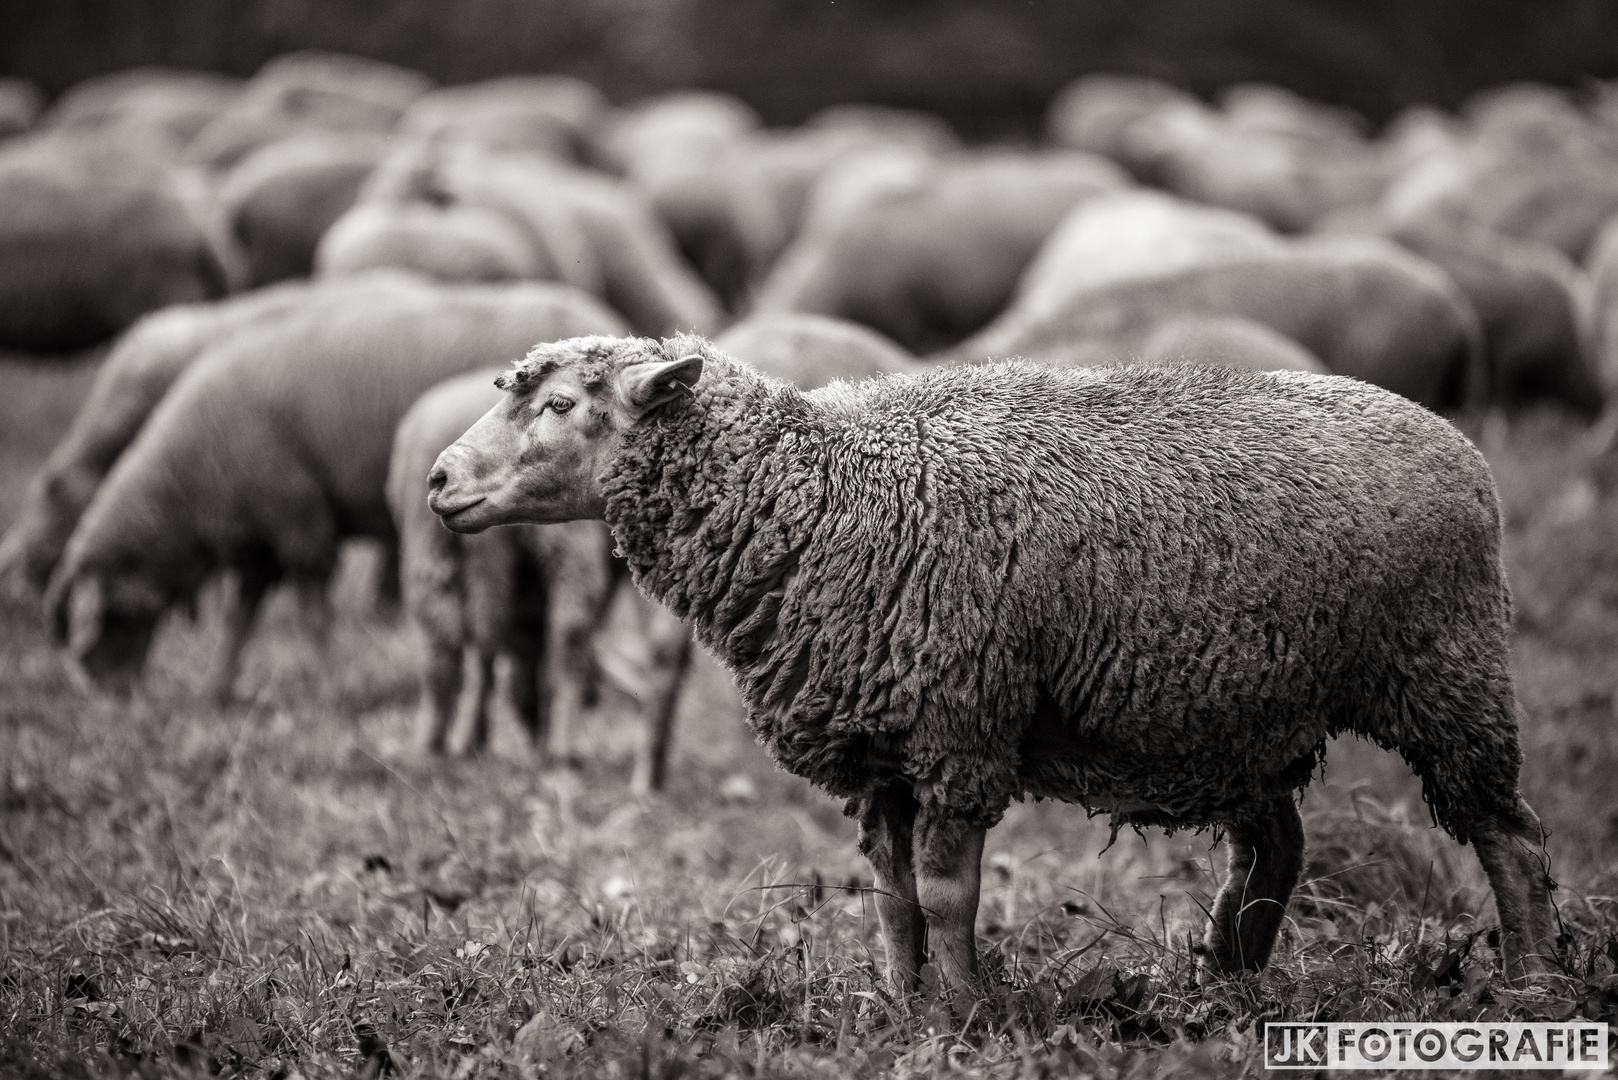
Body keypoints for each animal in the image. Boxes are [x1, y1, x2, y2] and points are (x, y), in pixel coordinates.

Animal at [42, 275, 624, 705]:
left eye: (111, 611)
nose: (103, 692)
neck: (192, 477)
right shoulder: (258, 542)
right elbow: (239, 616)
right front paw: (217, 688)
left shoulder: (299, 521)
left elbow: (312, 612)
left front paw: (327, 686)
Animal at [423, 333, 1559, 990]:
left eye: (560, 406)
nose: (436, 479)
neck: (821, 494)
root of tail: (1455, 442)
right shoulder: (877, 744)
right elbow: (890, 896)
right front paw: (902, 1008)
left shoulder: (955, 725)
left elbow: (946, 892)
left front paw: (967, 1016)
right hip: (1238, 704)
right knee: (1274, 846)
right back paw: (1222, 984)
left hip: (1445, 672)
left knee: (1508, 835)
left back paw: (1531, 979)